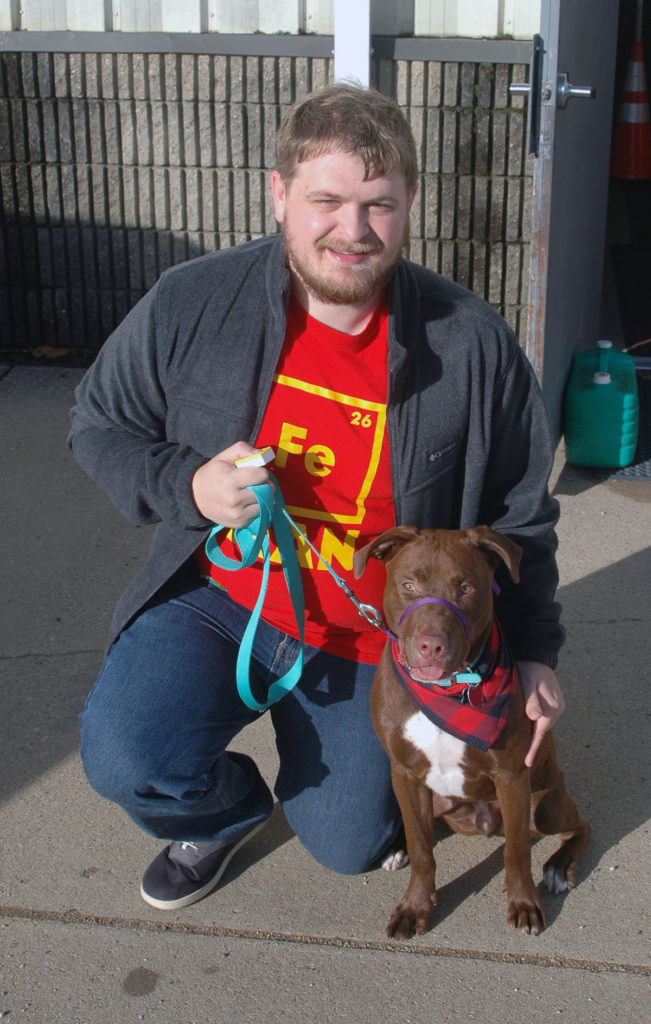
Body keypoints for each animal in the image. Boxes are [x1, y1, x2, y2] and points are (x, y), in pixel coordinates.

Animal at [354, 532, 593, 937]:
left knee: (577, 826)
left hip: (544, 803)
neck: (447, 690)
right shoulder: (404, 772)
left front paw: (524, 903)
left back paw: (559, 867)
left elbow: (516, 851)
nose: (431, 645)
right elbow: (422, 849)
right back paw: (396, 847)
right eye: (408, 585)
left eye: (466, 588)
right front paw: (414, 907)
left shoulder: (511, 776)